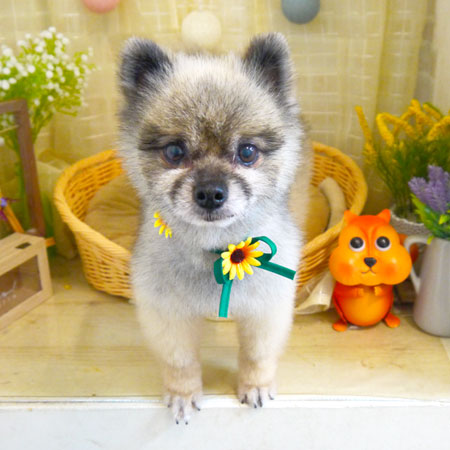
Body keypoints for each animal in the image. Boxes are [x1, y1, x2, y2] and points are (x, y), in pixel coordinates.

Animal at [118, 33, 311, 423]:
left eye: (247, 152)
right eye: (175, 152)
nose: (210, 193)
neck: (218, 251)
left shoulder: (265, 309)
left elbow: (256, 354)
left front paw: (254, 387)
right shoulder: (169, 315)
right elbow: (181, 363)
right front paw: (183, 394)